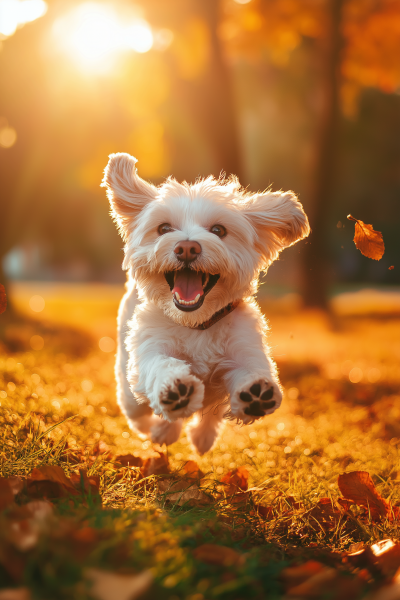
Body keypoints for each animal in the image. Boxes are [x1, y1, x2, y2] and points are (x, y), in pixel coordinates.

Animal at [102, 154, 310, 454]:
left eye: (218, 230)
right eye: (164, 228)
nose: (187, 248)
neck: (197, 323)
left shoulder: (243, 348)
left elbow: (248, 371)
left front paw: (256, 394)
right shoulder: (150, 347)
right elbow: (161, 365)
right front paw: (176, 390)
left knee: (210, 415)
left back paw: (203, 435)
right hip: (127, 372)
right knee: (136, 408)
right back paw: (160, 427)